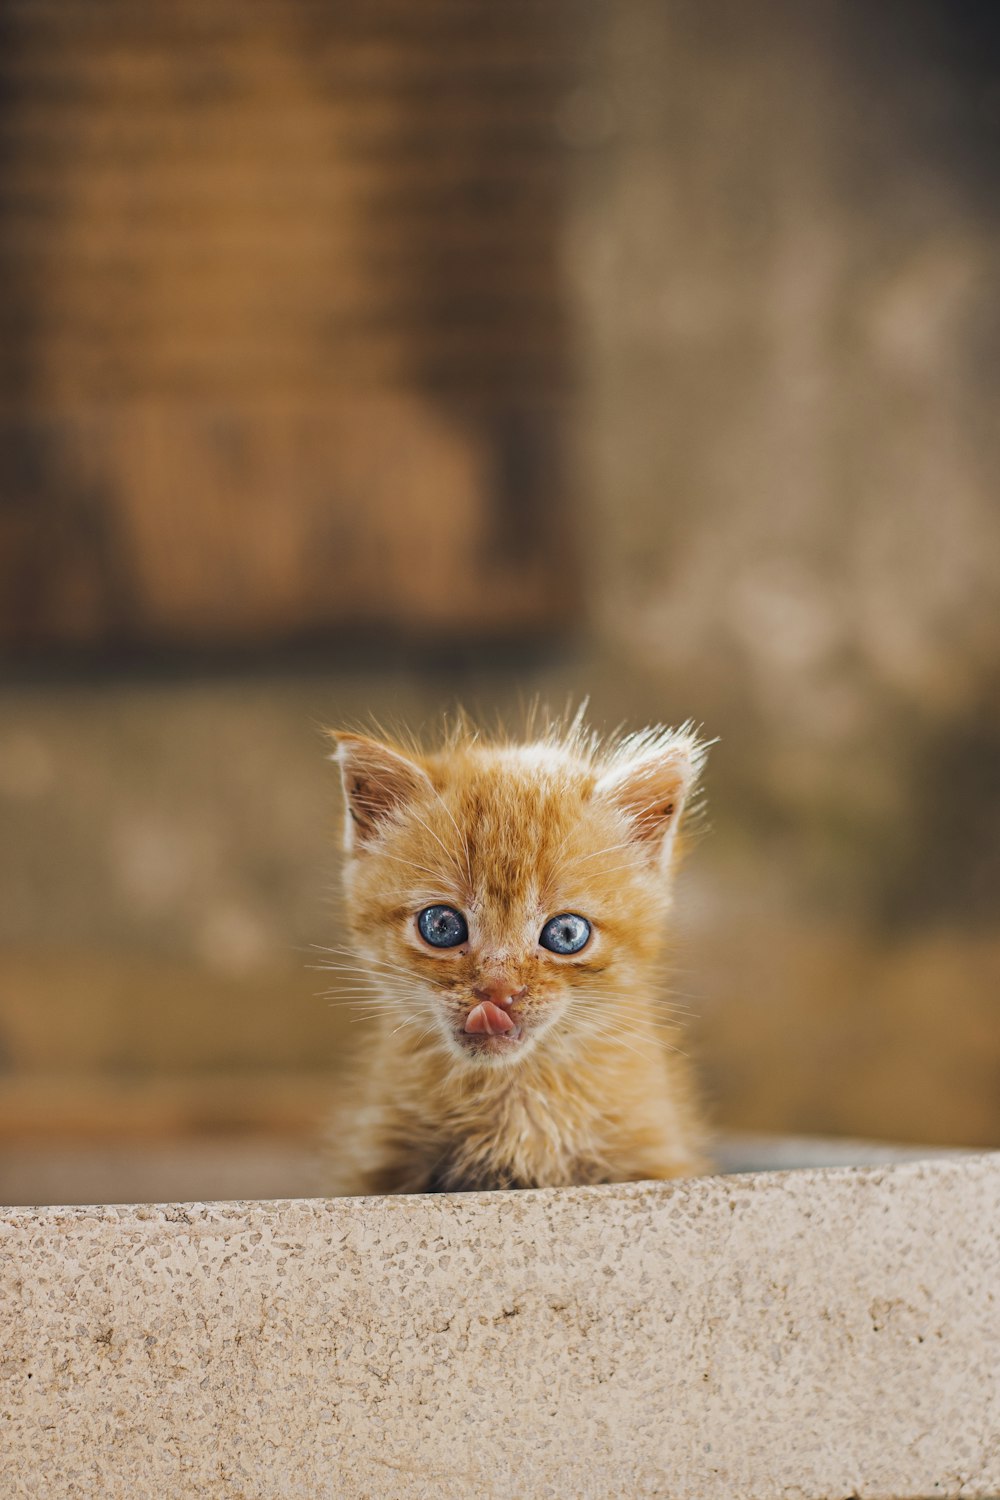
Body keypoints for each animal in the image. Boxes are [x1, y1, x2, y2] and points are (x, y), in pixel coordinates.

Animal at [325, 714, 707, 1194]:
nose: (498, 991)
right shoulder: (377, 1161)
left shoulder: (654, 1154)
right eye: (441, 926)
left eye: (566, 933)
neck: (513, 1093)